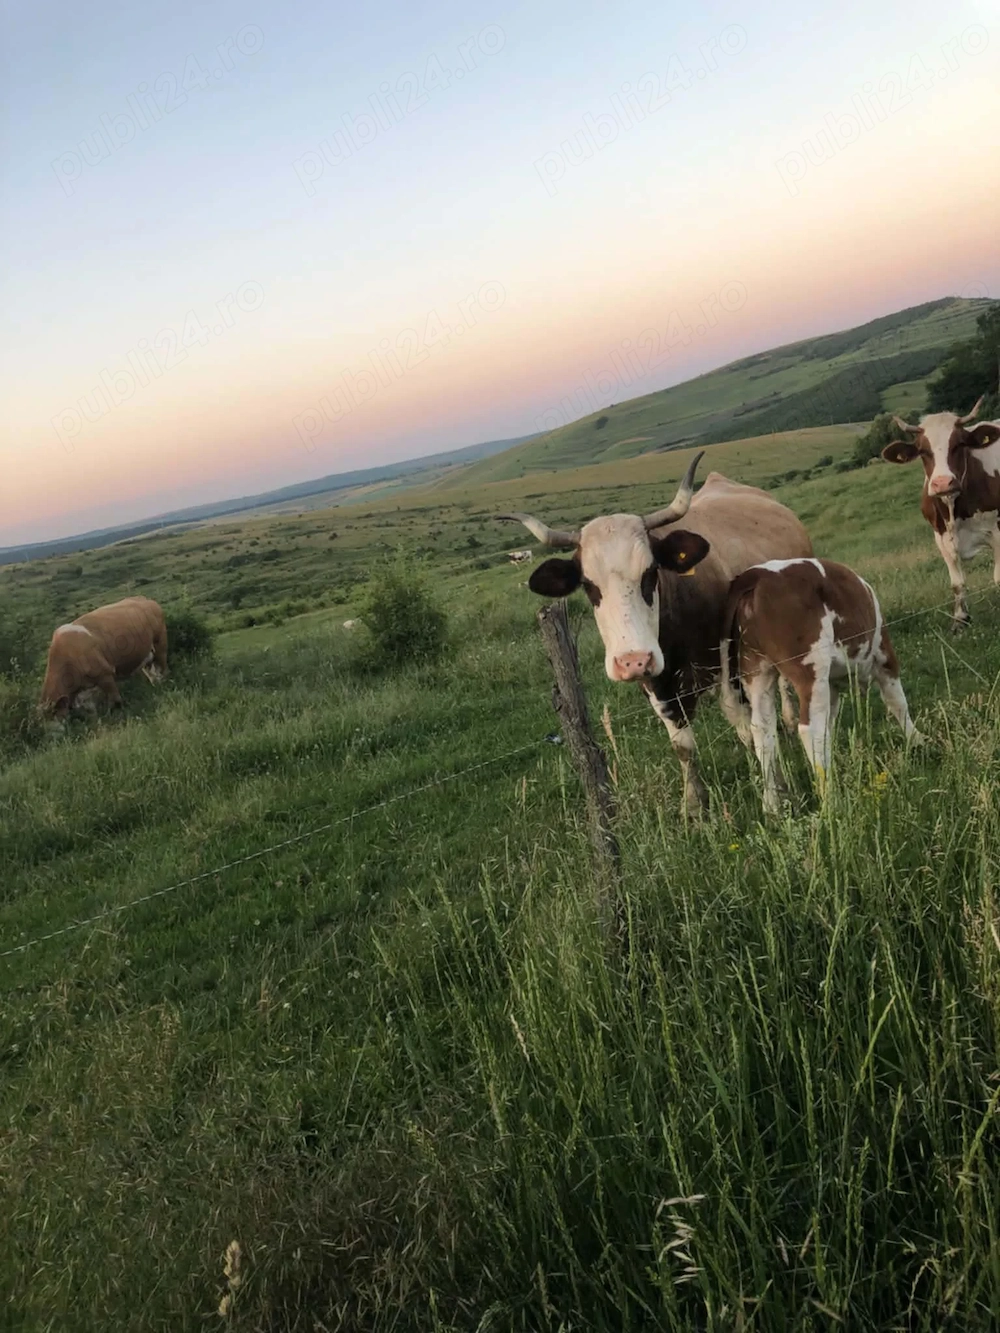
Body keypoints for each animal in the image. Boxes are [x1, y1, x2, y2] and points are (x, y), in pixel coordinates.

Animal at [39, 596, 168, 723]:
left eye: (55, 715)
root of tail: (146, 600)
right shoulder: (84, 692)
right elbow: (92, 712)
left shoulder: (105, 674)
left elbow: (116, 700)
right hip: (146, 655)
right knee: (152, 674)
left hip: (160, 644)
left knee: (163, 667)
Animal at [497, 452, 813, 815]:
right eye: (589, 586)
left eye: (650, 574)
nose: (633, 661)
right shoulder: (657, 687)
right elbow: (683, 746)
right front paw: (695, 804)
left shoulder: (731, 664)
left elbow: (750, 728)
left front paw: (774, 790)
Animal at [719, 558, 922, 813]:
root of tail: (758, 574)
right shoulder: (885, 656)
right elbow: (898, 702)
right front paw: (917, 742)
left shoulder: (831, 685)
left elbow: (830, 722)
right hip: (810, 668)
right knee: (810, 728)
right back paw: (831, 800)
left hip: (756, 669)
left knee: (762, 730)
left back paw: (772, 803)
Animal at [881, 396, 1000, 630]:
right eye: (923, 451)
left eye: (959, 444)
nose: (943, 483)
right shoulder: (940, 537)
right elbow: (957, 583)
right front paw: (960, 619)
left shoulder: (998, 531)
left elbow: (998, 577)